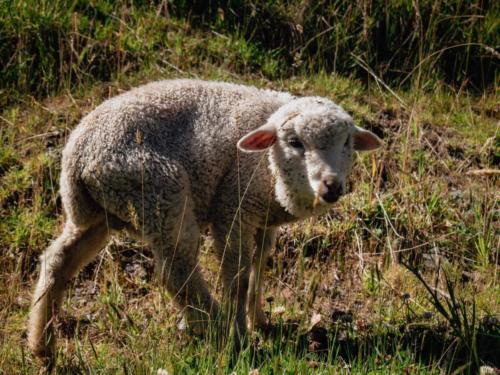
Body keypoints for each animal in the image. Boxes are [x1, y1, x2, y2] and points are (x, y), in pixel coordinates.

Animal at [27, 79, 380, 364]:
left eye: (347, 143)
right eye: (294, 142)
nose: (331, 185)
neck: (268, 170)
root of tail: (77, 156)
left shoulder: (264, 220)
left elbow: (259, 267)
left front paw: (259, 320)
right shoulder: (232, 207)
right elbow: (237, 277)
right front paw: (241, 327)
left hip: (97, 213)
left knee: (57, 261)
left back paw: (41, 346)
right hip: (159, 192)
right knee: (176, 271)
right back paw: (218, 328)